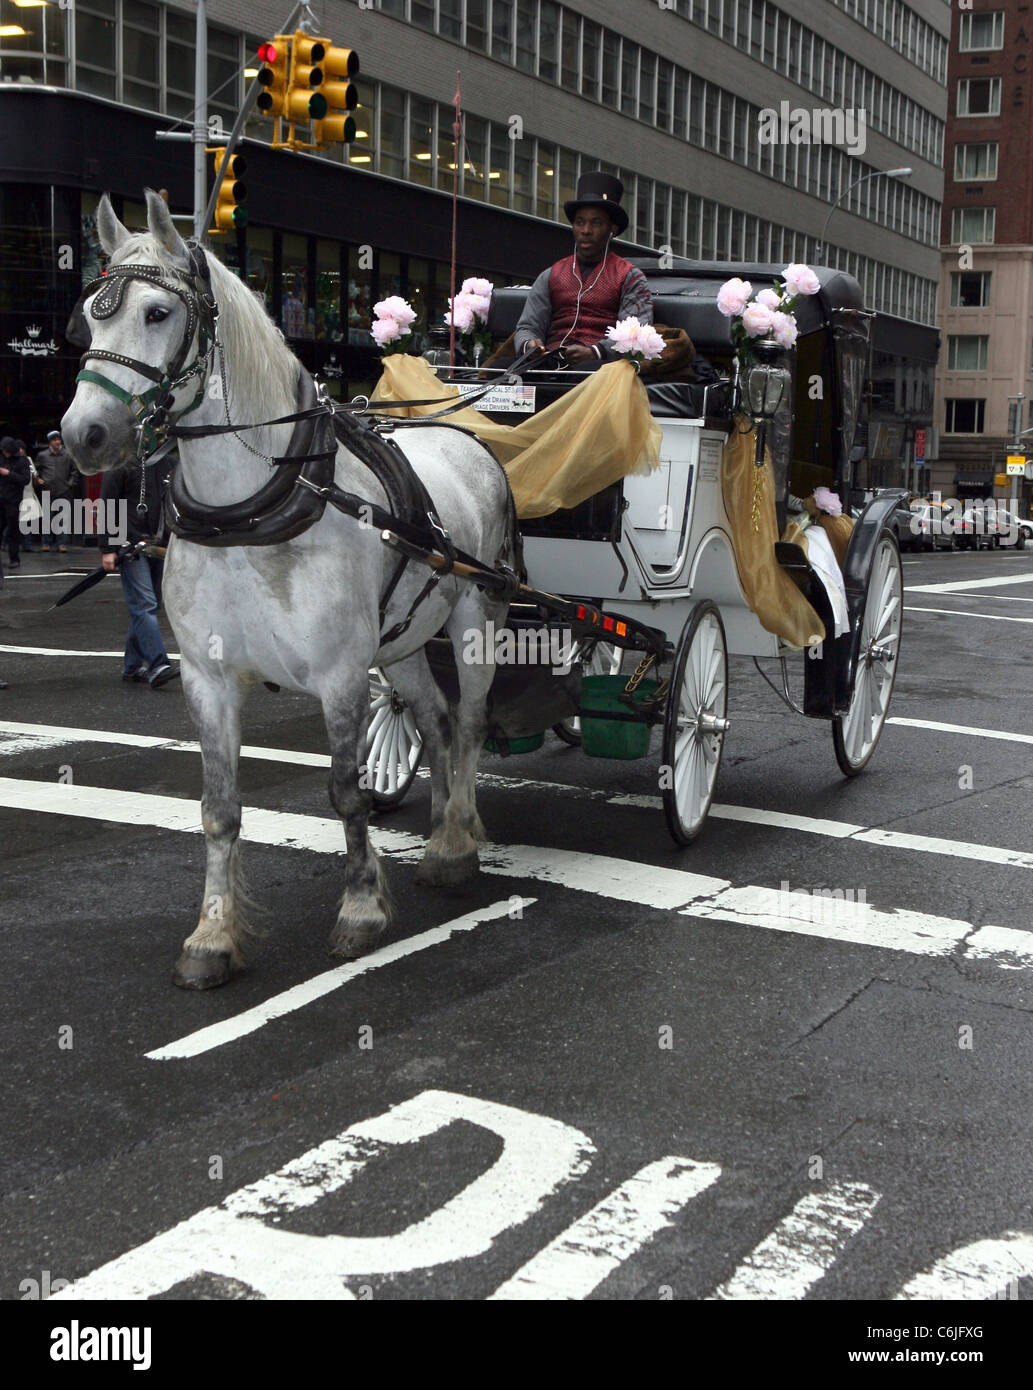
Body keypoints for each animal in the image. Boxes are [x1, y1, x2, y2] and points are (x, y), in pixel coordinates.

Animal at [64, 190, 517, 989]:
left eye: (157, 313)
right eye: (91, 314)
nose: (82, 434)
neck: (252, 512)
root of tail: (468, 436)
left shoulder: (339, 674)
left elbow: (344, 789)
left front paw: (361, 910)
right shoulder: (208, 678)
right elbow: (218, 807)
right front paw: (212, 937)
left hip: (474, 614)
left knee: (466, 720)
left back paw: (458, 842)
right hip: (402, 639)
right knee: (432, 720)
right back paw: (439, 834)